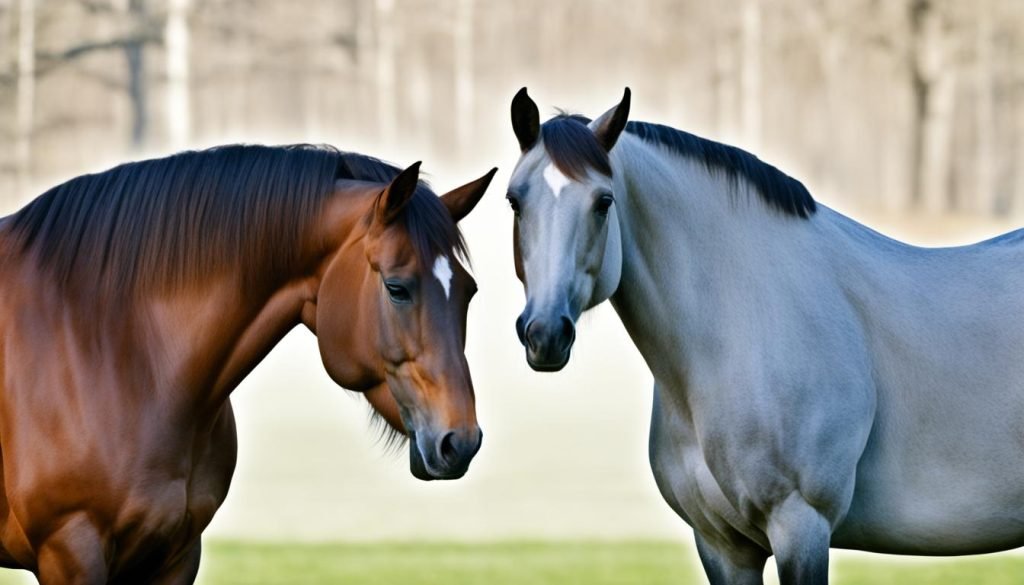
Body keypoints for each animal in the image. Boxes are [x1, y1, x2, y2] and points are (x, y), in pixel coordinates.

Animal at [503, 88, 1024, 585]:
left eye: (603, 202)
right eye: (514, 200)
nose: (546, 334)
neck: (739, 329)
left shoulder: (800, 523)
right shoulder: (722, 545)